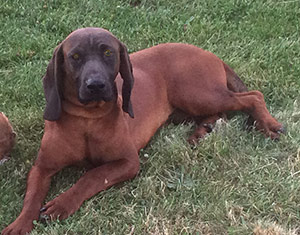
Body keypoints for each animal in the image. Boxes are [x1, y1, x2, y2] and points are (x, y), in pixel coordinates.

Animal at [1, 27, 284, 233]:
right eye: (75, 57)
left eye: (108, 52)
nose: (96, 85)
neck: (87, 119)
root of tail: (209, 53)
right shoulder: (42, 167)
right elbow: (32, 197)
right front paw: (19, 224)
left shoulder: (127, 162)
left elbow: (91, 177)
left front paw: (61, 204)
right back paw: (203, 129)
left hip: (196, 93)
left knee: (253, 96)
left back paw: (268, 124)